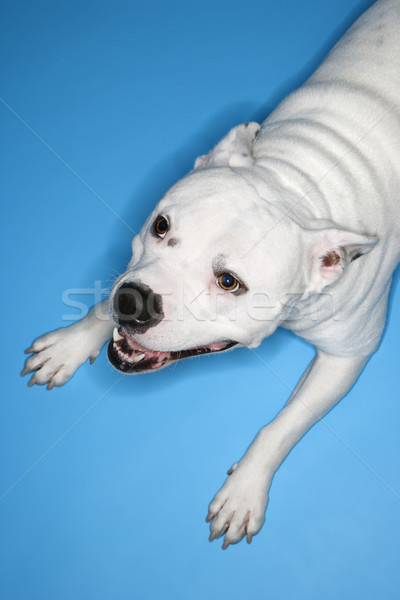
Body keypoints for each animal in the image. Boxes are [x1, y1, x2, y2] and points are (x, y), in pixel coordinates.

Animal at [21, 0, 400, 552]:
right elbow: (99, 302)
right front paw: (74, 341)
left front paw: (245, 490)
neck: (301, 181)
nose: (133, 302)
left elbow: (284, 425)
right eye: (160, 226)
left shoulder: (347, 355)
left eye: (229, 283)